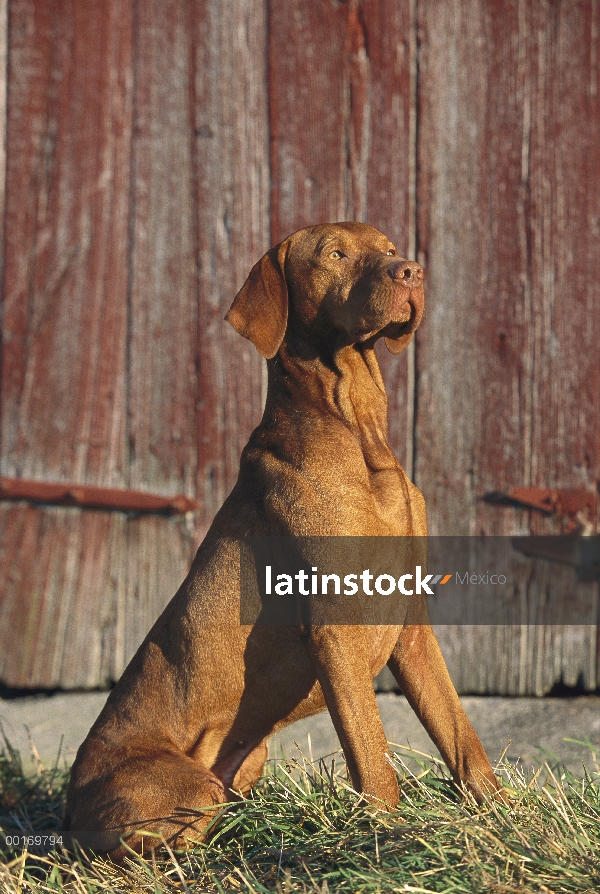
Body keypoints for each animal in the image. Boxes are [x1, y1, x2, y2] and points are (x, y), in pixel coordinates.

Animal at [63, 220, 504, 856]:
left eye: (390, 249)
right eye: (335, 255)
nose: (412, 271)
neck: (359, 435)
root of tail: (68, 810)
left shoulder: (412, 627)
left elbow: (461, 737)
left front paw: (503, 818)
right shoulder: (334, 630)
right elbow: (373, 757)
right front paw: (386, 840)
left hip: (243, 765)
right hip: (192, 789)